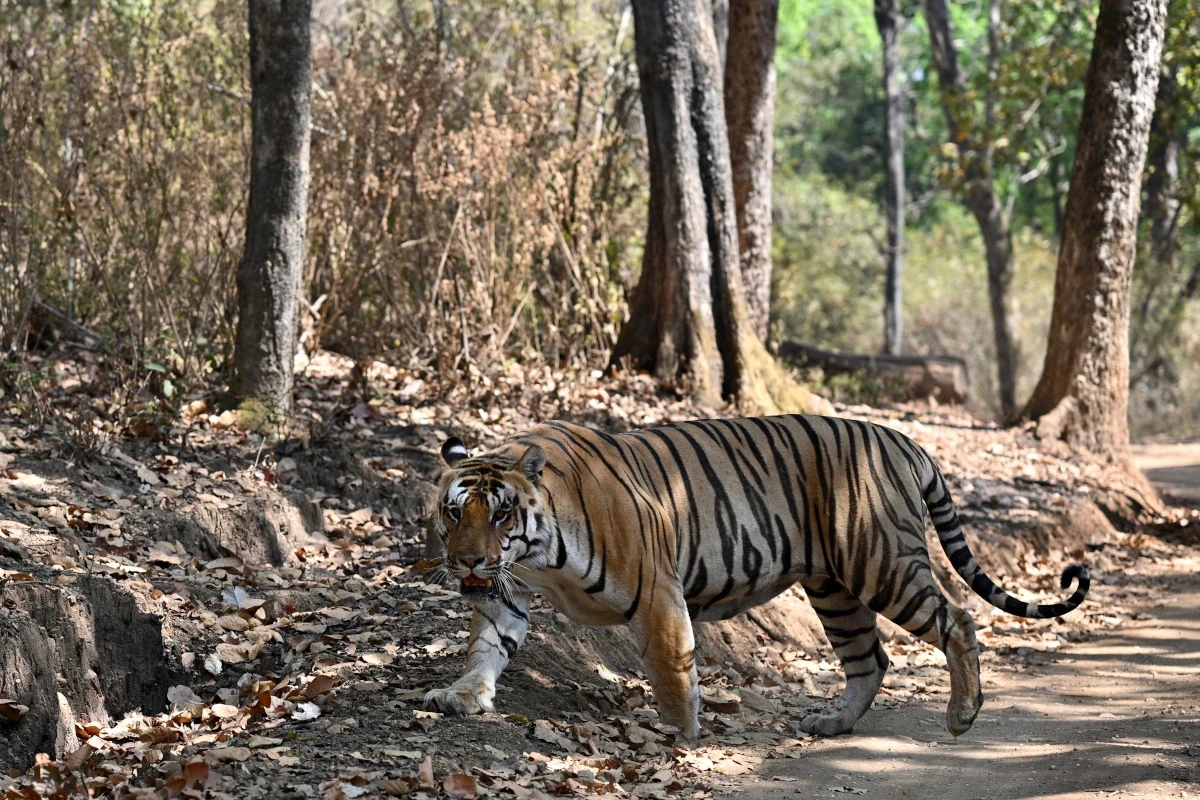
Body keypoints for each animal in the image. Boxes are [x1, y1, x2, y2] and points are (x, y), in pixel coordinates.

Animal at [422, 415, 1090, 742]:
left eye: (500, 513)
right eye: (454, 513)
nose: (468, 562)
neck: (535, 554)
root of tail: (903, 438)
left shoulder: (658, 591)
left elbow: (671, 669)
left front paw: (680, 734)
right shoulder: (507, 592)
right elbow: (485, 648)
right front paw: (461, 695)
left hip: (882, 563)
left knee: (960, 620)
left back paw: (962, 715)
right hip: (835, 589)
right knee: (870, 658)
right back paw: (833, 724)